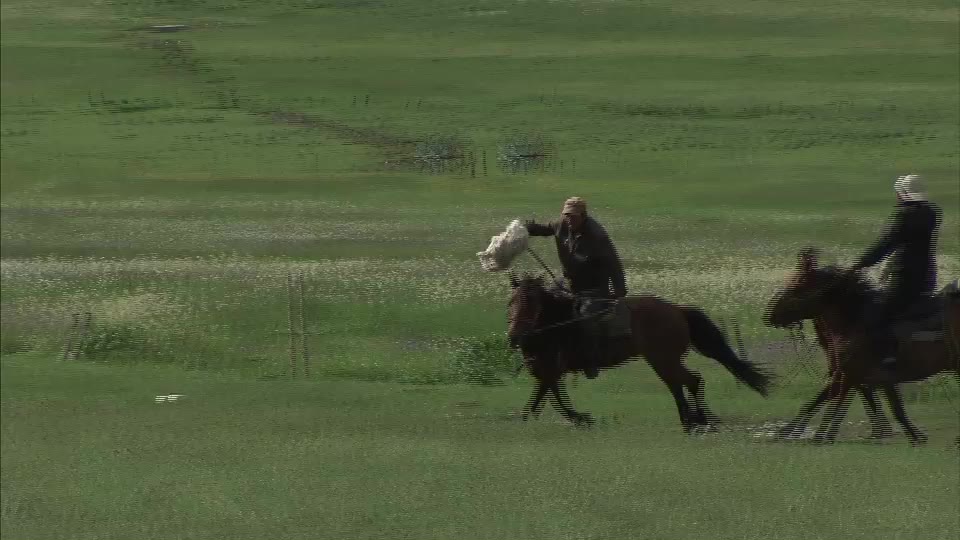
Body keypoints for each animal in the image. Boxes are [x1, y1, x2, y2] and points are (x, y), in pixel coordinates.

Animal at [506, 273, 773, 431]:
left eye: (532, 302)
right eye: (511, 302)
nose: (514, 337)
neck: (555, 323)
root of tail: (678, 310)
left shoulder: (552, 370)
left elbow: (552, 398)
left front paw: (580, 418)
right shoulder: (547, 371)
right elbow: (545, 397)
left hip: (662, 359)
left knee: (688, 381)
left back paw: (696, 421)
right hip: (664, 360)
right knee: (682, 383)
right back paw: (693, 420)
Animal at [765, 248, 960, 445]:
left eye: (796, 286)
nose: (770, 315)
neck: (856, 322)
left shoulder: (852, 376)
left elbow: (834, 403)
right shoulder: (858, 377)